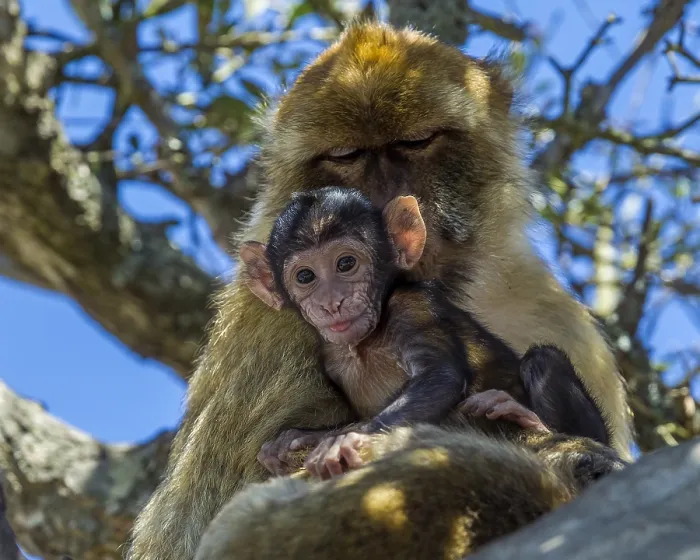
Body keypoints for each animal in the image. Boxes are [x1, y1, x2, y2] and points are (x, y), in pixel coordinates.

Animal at [240, 186, 608, 479]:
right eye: (305, 276)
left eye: (346, 264)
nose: (331, 302)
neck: (365, 344)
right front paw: (300, 438)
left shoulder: (413, 308)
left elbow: (440, 376)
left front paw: (344, 440)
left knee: (543, 362)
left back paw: (530, 418)